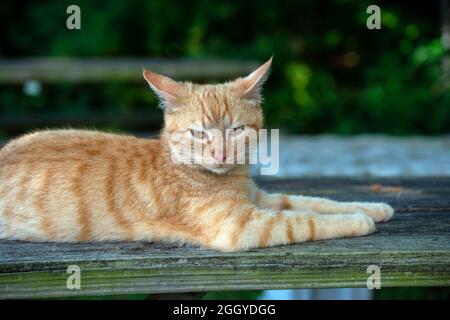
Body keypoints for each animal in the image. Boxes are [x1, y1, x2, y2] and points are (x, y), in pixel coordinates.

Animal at [0, 58, 392, 251]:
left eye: (236, 129)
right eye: (200, 133)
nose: (220, 154)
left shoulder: (263, 199)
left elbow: (316, 201)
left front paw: (374, 207)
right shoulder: (245, 225)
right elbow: (308, 220)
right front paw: (360, 220)